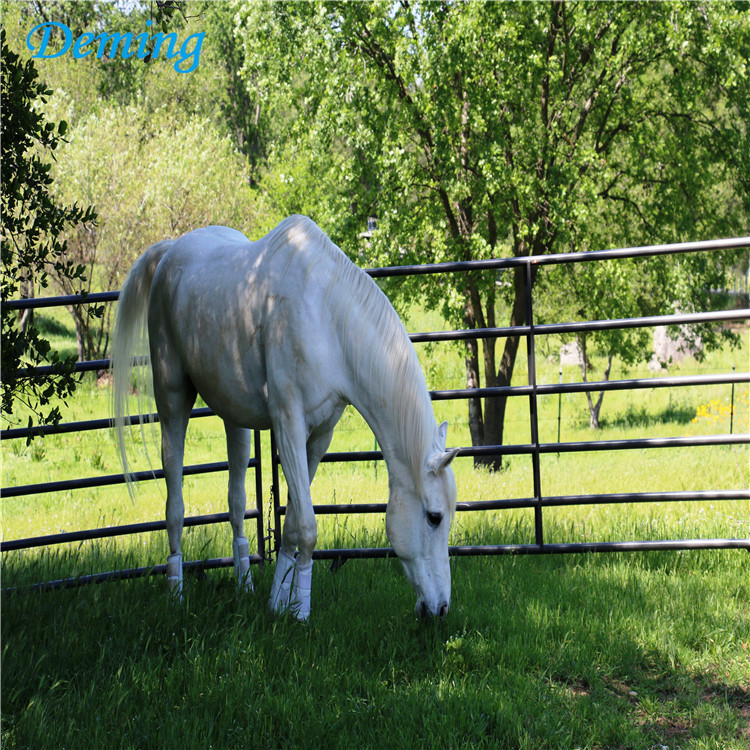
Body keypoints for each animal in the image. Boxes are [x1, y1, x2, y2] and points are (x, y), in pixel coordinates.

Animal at [112, 214, 462, 620]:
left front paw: (279, 602)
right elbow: (307, 525)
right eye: (434, 517)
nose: (441, 608)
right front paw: (300, 612)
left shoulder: (320, 435)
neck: (327, 317)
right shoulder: (289, 426)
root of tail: (171, 251)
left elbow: (293, 522)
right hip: (171, 398)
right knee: (175, 503)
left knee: (236, 503)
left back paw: (244, 584)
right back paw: (176, 591)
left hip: (235, 418)